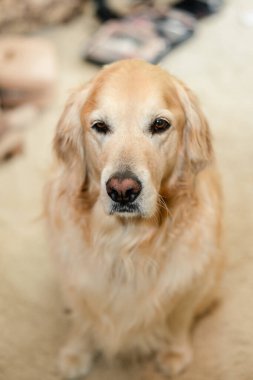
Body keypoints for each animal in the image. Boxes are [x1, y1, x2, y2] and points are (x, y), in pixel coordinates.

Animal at [46, 59, 223, 378]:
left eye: (160, 124)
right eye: (100, 126)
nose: (122, 191)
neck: (126, 242)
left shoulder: (190, 280)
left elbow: (179, 316)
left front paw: (174, 353)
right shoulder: (76, 278)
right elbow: (81, 316)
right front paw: (75, 353)